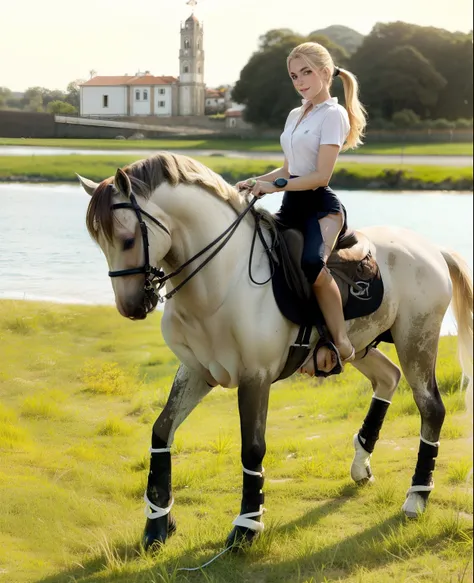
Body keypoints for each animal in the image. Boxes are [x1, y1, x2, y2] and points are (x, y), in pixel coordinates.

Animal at [78, 152, 474, 552]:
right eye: (100, 243)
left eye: (128, 239)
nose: (131, 306)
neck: (222, 279)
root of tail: (432, 249)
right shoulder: (196, 371)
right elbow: (162, 431)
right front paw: (158, 523)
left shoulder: (256, 376)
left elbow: (252, 449)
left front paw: (246, 527)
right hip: (361, 346)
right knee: (388, 378)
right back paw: (361, 464)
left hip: (416, 341)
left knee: (431, 408)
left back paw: (417, 496)